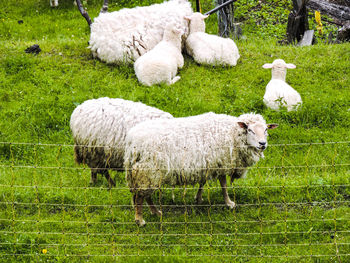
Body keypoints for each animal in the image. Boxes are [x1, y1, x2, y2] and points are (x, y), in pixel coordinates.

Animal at [124, 112, 278, 226]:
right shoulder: (221, 162)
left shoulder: (209, 163)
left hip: (146, 172)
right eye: (250, 130)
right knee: (140, 196)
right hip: (148, 170)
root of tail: (131, 141)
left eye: (265, 130)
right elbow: (223, 184)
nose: (262, 144)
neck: (231, 133)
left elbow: (204, 182)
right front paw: (229, 203)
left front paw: (198, 198)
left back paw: (155, 212)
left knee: (145, 195)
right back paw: (140, 220)